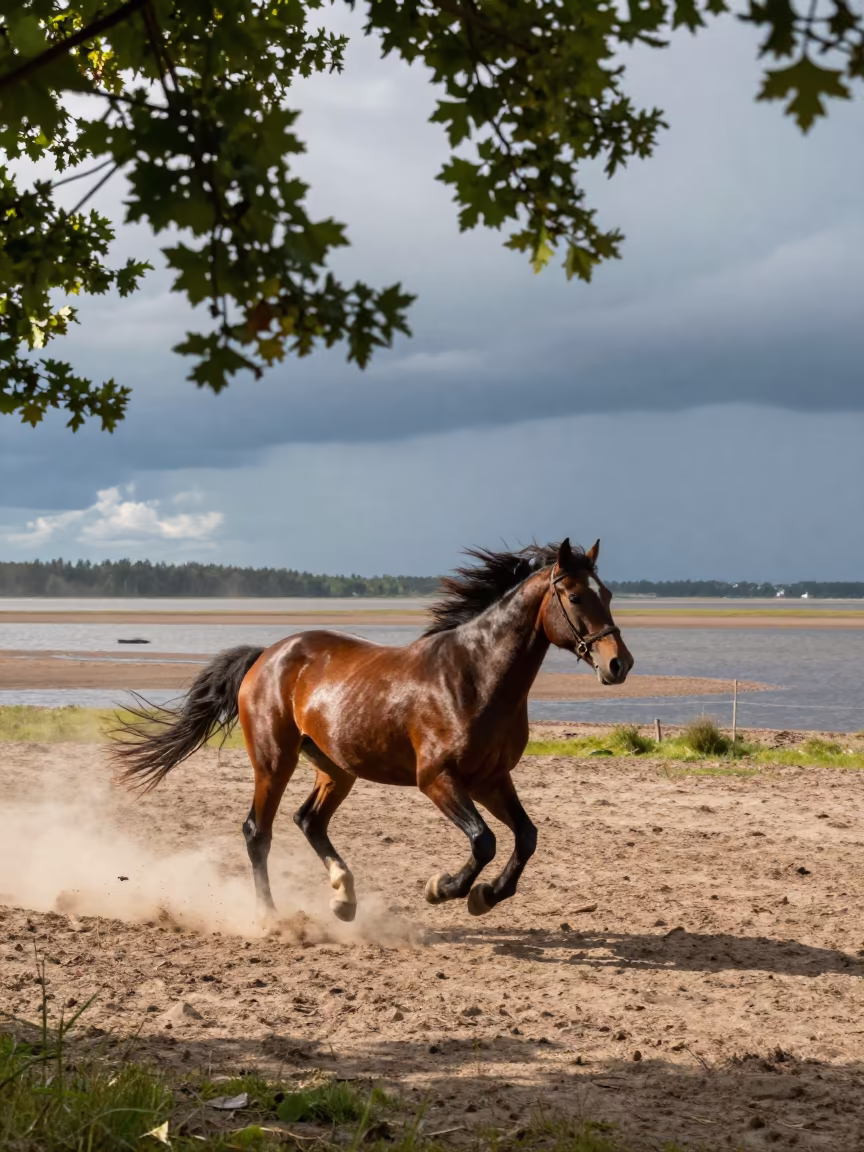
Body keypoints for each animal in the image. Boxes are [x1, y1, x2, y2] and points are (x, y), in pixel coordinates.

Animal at [112, 538, 633, 923]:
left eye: (607, 595)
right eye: (575, 596)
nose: (619, 664)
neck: (475, 676)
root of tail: (267, 656)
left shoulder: (491, 778)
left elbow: (526, 837)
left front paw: (484, 896)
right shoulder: (437, 779)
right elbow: (484, 840)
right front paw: (443, 888)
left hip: (336, 768)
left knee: (309, 820)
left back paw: (344, 900)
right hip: (274, 761)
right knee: (258, 831)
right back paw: (271, 917)